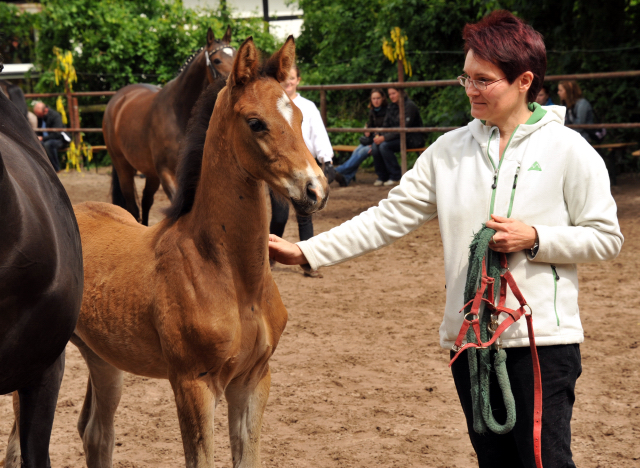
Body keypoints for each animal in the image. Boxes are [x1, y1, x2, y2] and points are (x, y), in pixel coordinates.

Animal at [104, 26, 236, 226]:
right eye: (216, 60)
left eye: (236, 55)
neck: (179, 112)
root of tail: (118, 99)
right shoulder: (166, 172)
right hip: (123, 167)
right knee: (132, 206)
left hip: (150, 172)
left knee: (146, 201)